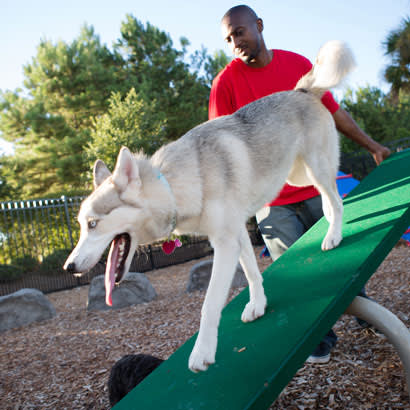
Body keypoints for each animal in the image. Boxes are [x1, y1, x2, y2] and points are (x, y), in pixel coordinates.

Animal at [64, 40, 356, 372]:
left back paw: (333, 235)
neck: (176, 186)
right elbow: (252, 273)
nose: (69, 267)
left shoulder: (225, 243)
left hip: (315, 167)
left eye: (93, 224)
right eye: (81, 225)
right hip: (297, 176)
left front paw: (202, 352)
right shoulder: (237, 234)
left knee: (335, 197)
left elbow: (209, 304)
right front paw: (258, 304)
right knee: (328, 196)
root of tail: (302, 90)